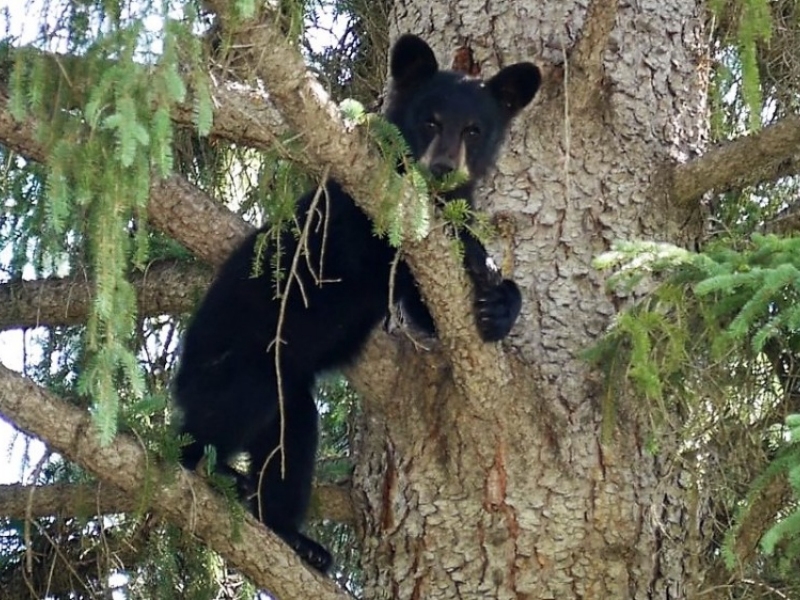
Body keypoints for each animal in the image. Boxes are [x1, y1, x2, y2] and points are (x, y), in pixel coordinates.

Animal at [173, 34, 536, 572]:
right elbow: (381, 250)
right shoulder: (355, 219)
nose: (443, 170)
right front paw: (474, 251)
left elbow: (430, 311)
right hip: (235, 368)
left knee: (290, 445)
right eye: (430, 120)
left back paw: (290, 533)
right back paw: (202, 467)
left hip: (290, 398)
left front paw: (498, 302)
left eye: (474, 129)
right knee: (211, 424)